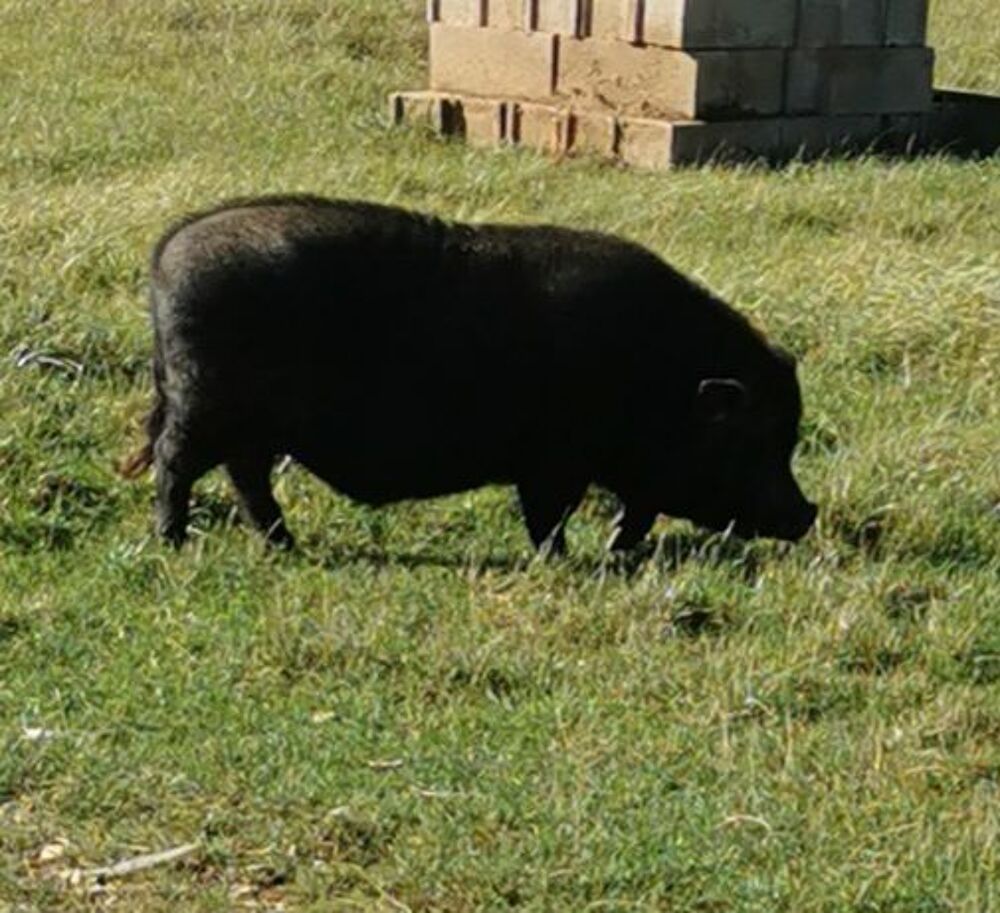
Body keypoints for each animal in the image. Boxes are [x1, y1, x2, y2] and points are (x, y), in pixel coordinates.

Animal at [122, 195, 817, 552]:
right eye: (755, 440)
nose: (805, 514)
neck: (662, 377)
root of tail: (169, 251)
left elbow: (636, 512)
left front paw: (618, 555)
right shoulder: (554, 461)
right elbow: (551, 516)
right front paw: (562, 560)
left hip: (248, 425)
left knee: (246, 479)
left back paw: (282, 545)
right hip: (205, 407)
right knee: (177, 463)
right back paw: (173, 542)